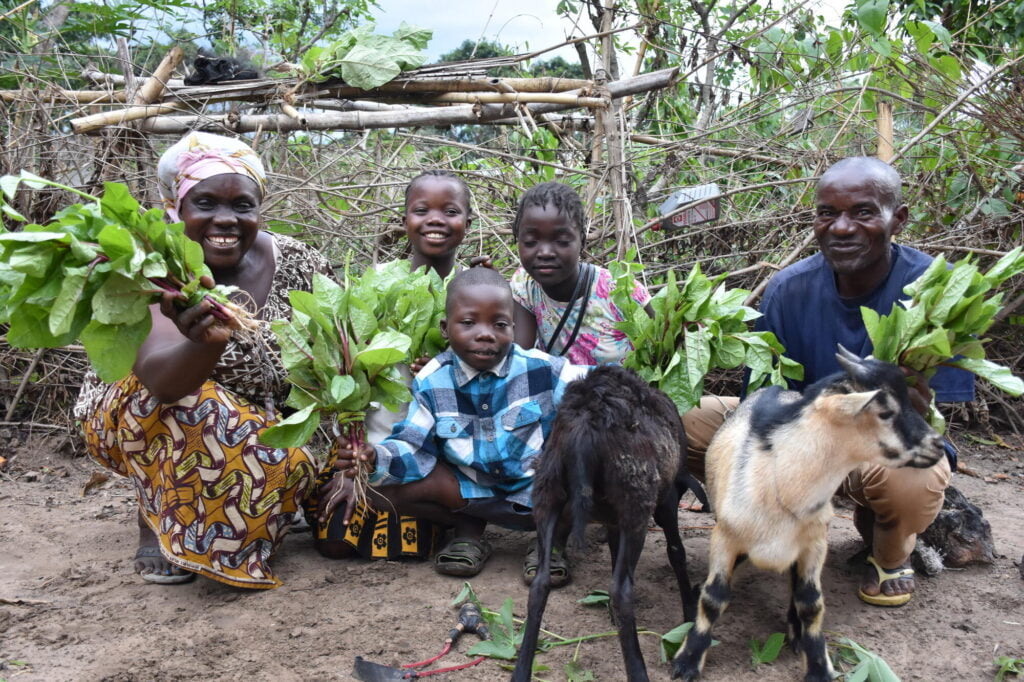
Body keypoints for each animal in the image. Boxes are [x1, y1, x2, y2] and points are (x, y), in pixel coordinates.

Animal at [512, 366, 704, 679]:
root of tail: (586, 422)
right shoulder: (665, 501)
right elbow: (676, 552)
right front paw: (689, 611)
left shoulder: (614, 521)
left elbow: (615, 554)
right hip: (636, 502)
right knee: (621, 590)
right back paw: (638, 672)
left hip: (546, 493)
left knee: (539, 584)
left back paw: (520, 672)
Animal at [671, 346, 942, 679]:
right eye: (885, 411)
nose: (938, 445)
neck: (778, 481)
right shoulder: (725, 537)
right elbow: (713, 597)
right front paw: (687, 660)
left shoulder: (814, 545)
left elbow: (810, 603)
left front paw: (817, 665)